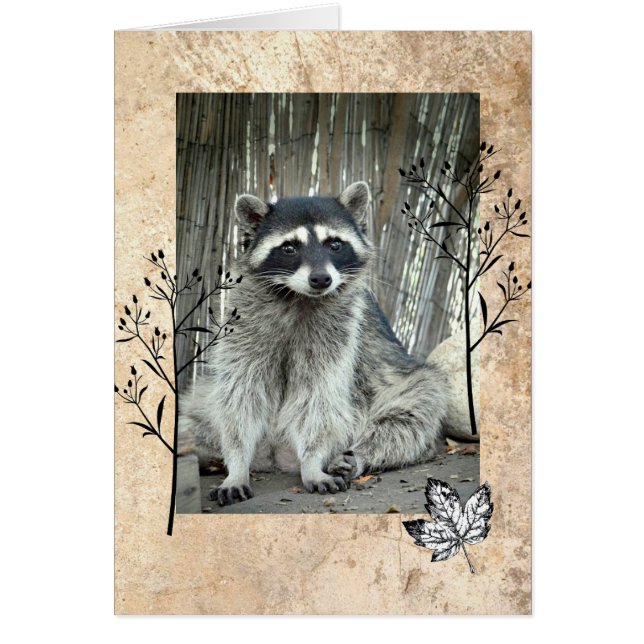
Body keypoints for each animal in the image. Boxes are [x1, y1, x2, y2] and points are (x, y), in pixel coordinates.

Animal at [179, 182, 450, 505]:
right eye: (289, 247)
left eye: (334, 244)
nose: (321, 278)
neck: (298, 297)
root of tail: (275, 455)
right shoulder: (243, 323)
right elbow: (241, 393)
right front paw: (236, 462)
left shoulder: (339, 332)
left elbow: (319, 397)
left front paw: (312, 459)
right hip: (204, 401)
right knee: (193, 416)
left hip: (399, 384)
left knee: (416, 406)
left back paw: (360, 455)